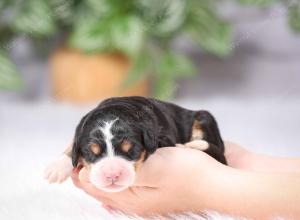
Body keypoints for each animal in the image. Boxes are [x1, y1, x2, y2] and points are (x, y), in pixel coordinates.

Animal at [45, 96, 226, 192]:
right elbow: (73, 144)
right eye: (92, 152)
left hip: (204, 118)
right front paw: (56, 168)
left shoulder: (164, 138)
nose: (112, 175)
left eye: (131, 149)